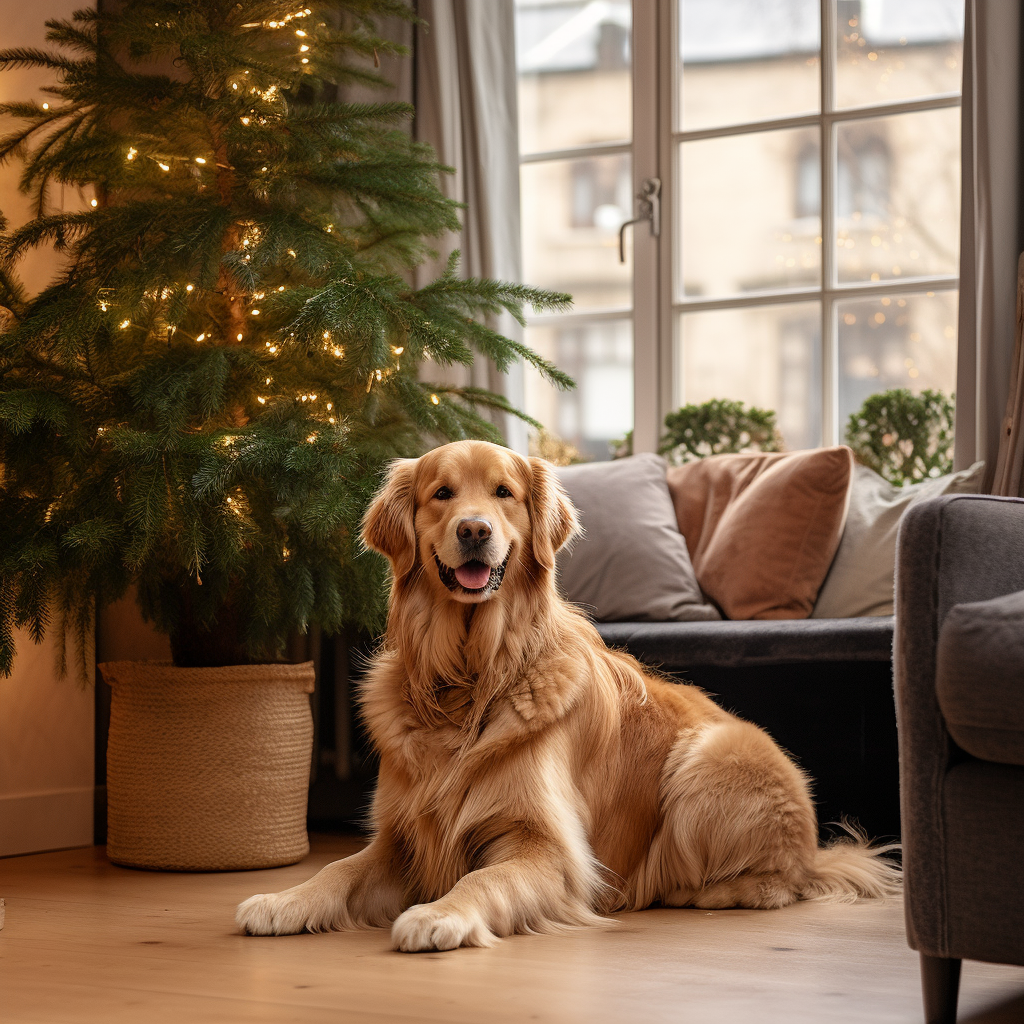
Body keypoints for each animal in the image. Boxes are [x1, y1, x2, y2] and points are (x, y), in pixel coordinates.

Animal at [235, 438, 901, 950]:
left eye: (504, 493)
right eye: (441, 494)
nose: (473, 530)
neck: (475, 676)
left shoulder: (551, 847)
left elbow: (482, 880)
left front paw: (438, 913)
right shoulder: (402, 835)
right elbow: (338, 868)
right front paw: (283, 900)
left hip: (709, 757)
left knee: (780, 881)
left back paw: (693, 888)